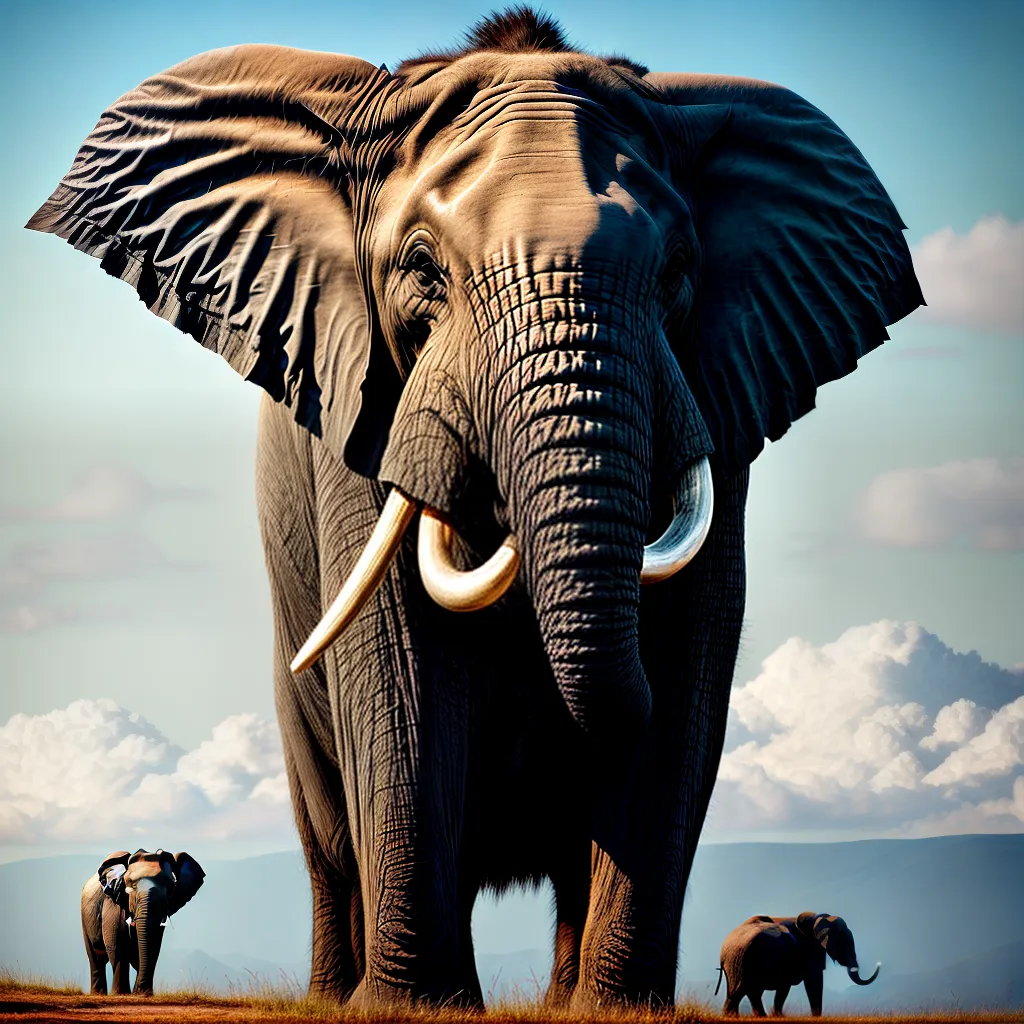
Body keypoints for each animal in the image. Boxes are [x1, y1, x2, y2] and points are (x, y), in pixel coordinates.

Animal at [81, 849, 205, 995]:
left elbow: (154, 946)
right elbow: (117, 944)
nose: (141, 991)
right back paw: (98, 993)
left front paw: (142, 993)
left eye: (171, 887)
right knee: (95, 956)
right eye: (130, 885)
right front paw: (122, 994)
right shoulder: (114, 903)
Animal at [717, 913, 880, 1017]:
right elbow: (814, 980)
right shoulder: (809, 950)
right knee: (743, 990)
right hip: (744, 961)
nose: (879, 964)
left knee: (748, 991)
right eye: (843, 941)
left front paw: (778, 1016)